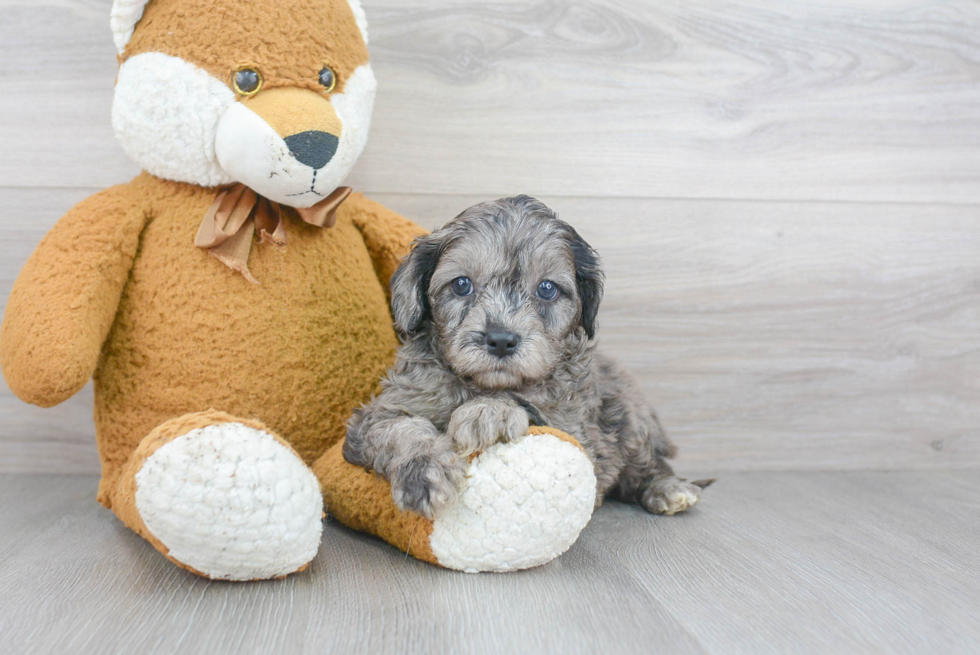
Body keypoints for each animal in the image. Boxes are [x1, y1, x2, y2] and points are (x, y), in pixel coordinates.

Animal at [346, 197, 712, 520]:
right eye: (461, 284)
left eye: (547, 289)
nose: (501, 340)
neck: (480, 385)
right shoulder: (379, 413)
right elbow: (400, 429)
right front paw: (425, 470)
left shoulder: (577, 432)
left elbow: (533, 408)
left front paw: (490, 411)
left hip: (630, 417)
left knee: (646, 466)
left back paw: (668, 489)